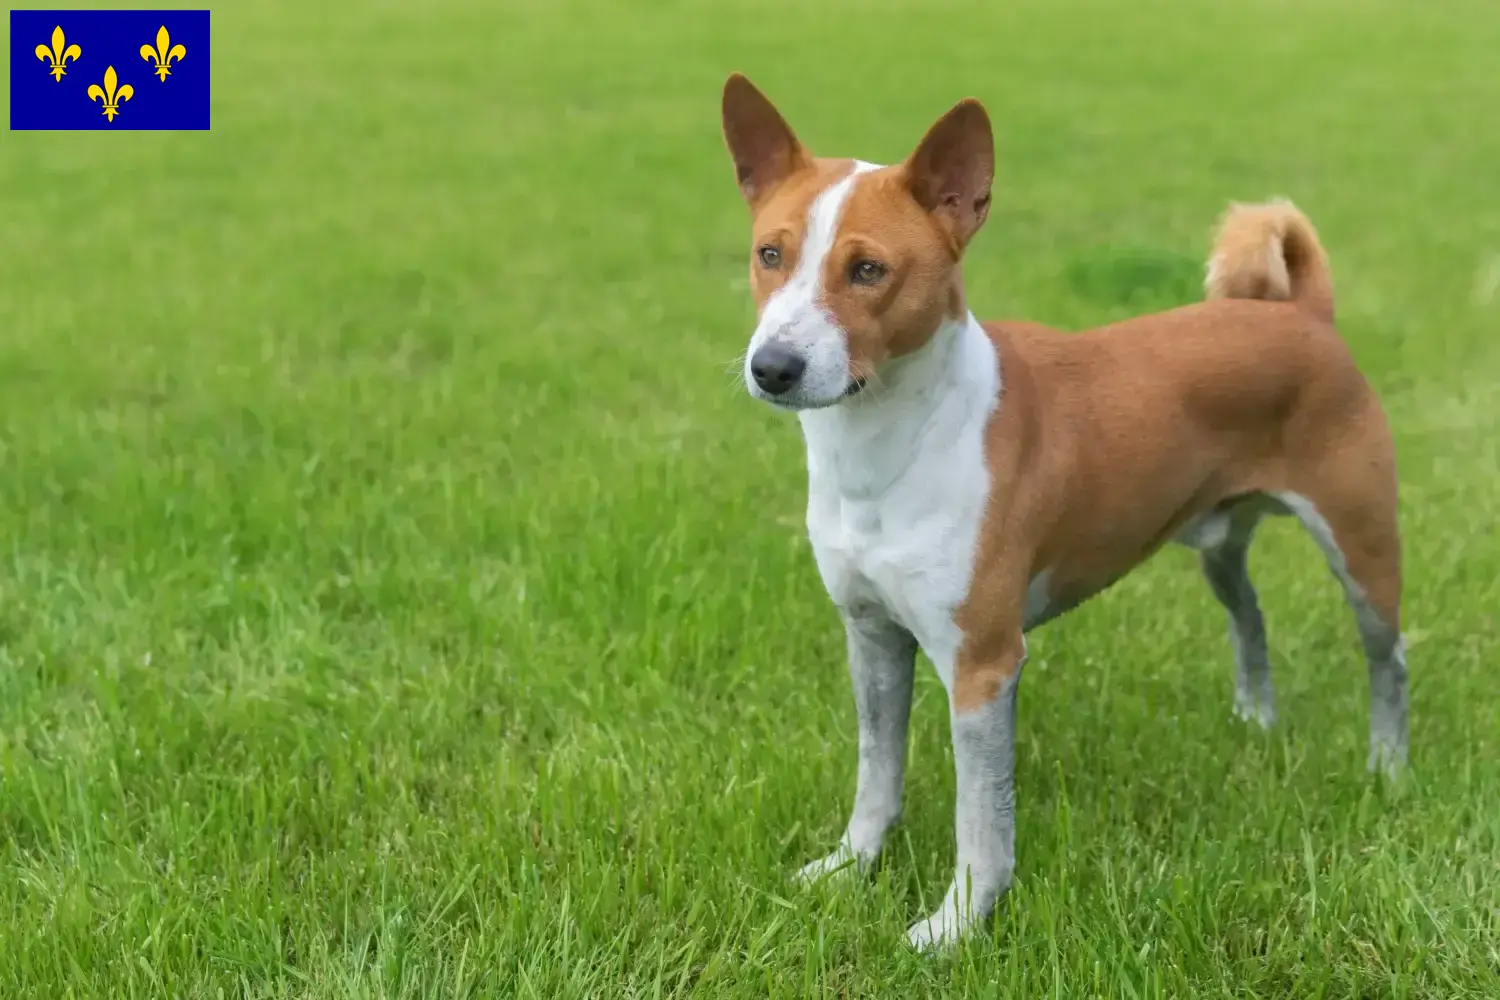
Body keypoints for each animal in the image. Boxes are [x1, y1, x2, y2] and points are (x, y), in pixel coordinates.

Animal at [717, 74, 1404, 953]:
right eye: (770, 254)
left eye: (869, 269)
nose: (773, 367)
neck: (886, 450)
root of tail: (1305, 315)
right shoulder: (870, 635)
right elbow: (877, 774)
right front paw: (850, 867)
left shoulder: (982, 664)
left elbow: (981, 821)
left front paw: (956, 926)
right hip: (1218, 543)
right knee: (1249, 616)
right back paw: (1255, 720)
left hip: (1362, 547)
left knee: (1388, 662)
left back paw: (1387, 770)